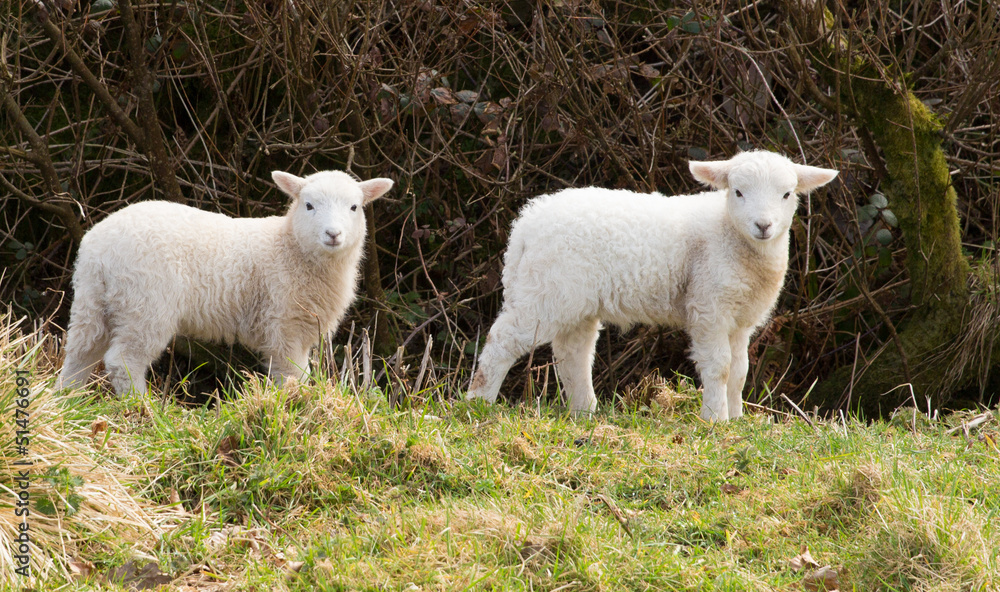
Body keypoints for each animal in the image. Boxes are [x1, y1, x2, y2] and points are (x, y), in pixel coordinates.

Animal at [55, 170, 393, 395]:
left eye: (354, 207)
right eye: (308, 205)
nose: (333, 234)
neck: (290, 248)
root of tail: (98, 247)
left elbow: (300, 372)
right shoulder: (284, 323)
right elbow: (290, 374)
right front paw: (292, 405)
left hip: (94, 300)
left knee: (80, 354)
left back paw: (66, 400)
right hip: (146, 303)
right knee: (123, 361)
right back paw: (141, 409)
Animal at [466, 150, 838, 421]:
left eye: (787, 194)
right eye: (738, 192)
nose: (763, 225)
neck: (729, 235)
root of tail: (526, 225)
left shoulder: (741, 318)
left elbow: (740, 371)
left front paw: (736, 419)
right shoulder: (709, 305)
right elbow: (719, 366)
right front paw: (715, 420)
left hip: (575, 299)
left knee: (573, 354)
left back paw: (585, 412)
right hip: (546, 290)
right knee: (502, 341)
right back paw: (477, 403)